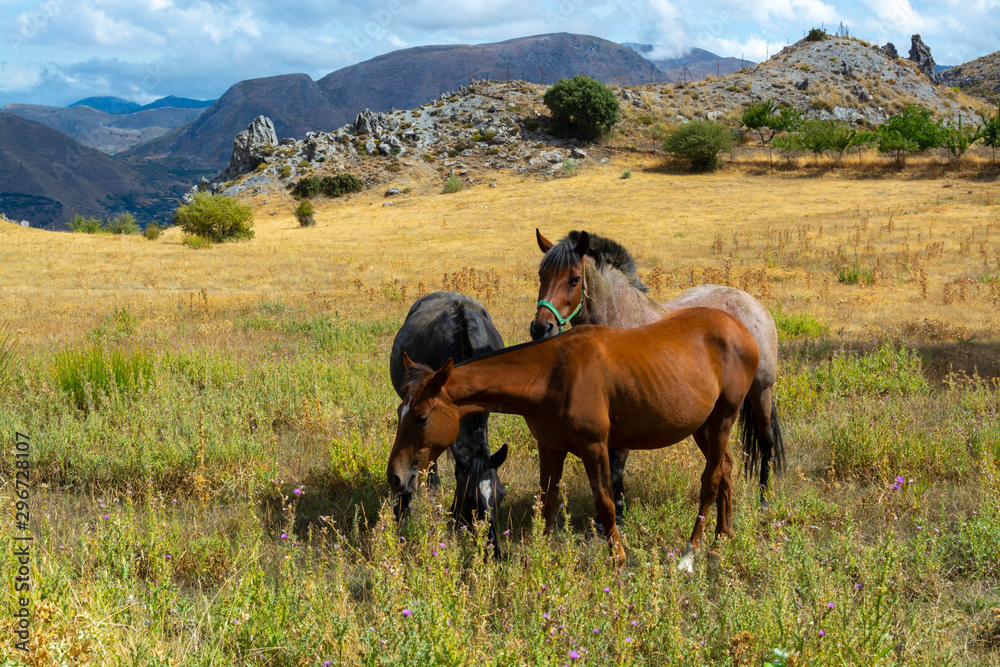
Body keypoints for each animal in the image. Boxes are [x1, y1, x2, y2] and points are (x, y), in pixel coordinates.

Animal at [528, 230, 784, 516]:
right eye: (542, 275)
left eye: (574, 279)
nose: (540, 328)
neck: (619, 321)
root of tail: (752, 302)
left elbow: (616, 466)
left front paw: (619, 514)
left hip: (761, 390)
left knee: (766, 441)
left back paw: (763, 499)